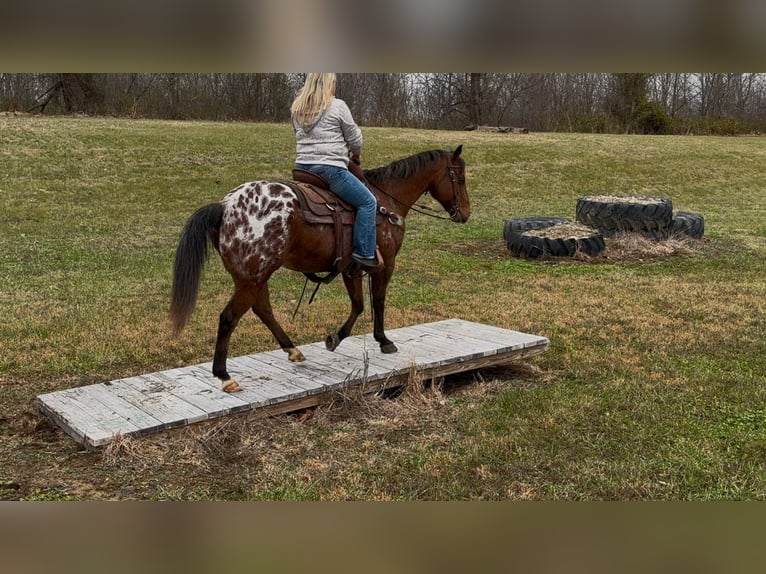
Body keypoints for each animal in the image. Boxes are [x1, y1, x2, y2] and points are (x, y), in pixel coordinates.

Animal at [171, 146, 472, 394]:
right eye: (460, 178)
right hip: (252, 279)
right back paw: (224, 376)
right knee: (229, 317)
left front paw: (335, 338)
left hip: (254, 277)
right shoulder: (385, 264)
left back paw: (292, 350)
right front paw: (383, 340)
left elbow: (358, 305)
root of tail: (224, 206)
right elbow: (377, 302)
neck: (386, 201)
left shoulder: (351, 268)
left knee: (263, 309)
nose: (466, 213)